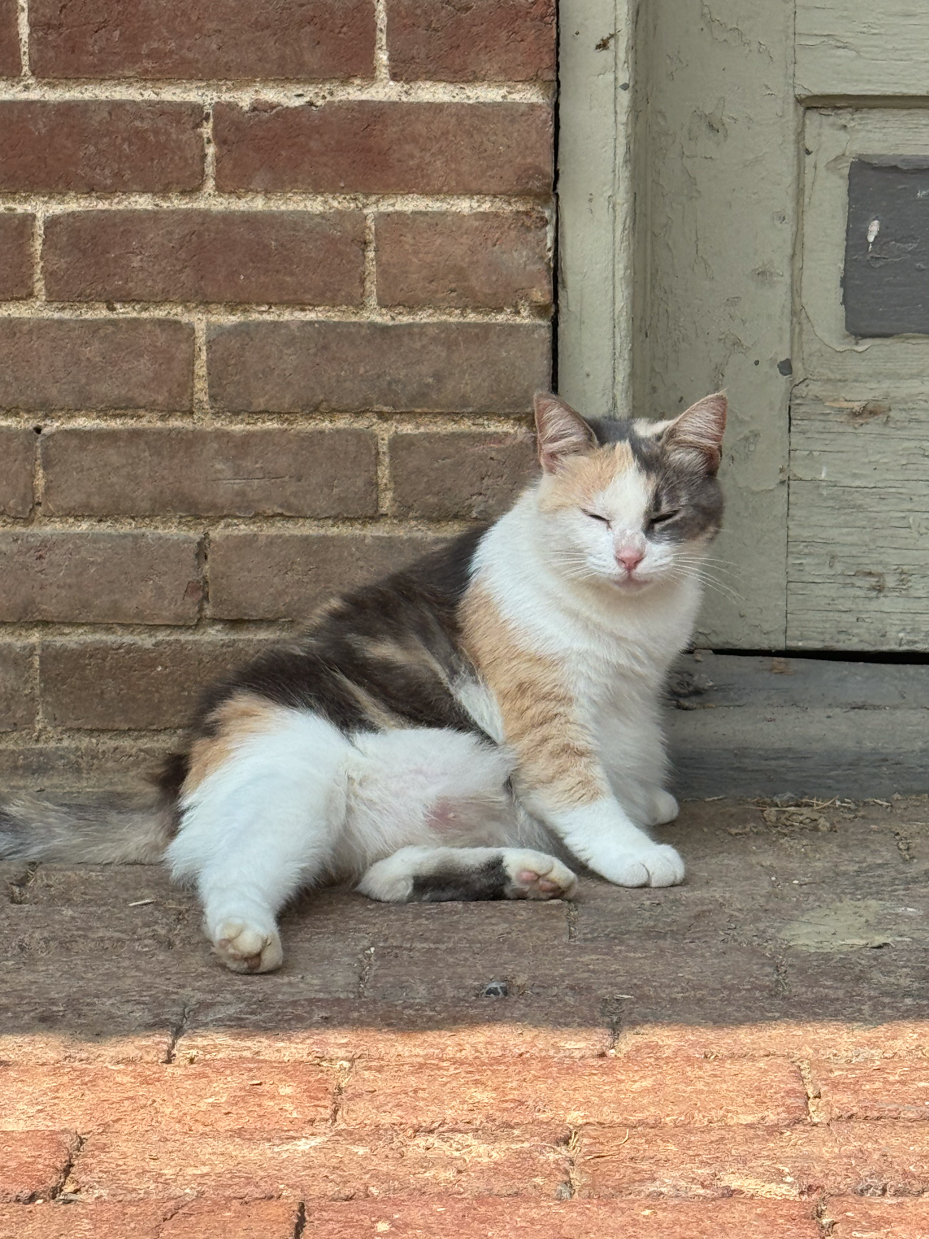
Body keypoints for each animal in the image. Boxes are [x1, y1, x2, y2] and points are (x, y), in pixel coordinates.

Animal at [0, 391, 728, 971]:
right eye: (596, 519)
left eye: (662, 518)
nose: (629, 557)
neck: (627, 617)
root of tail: (176, 777)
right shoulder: (544, 709)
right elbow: (578, 786)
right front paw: (630, 849)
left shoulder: (632, 697)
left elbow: (626, 755)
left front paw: (645, 801)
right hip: (296, 787)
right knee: (230, 873)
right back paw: (245, 938)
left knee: (379, 879)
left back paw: (523, 874)